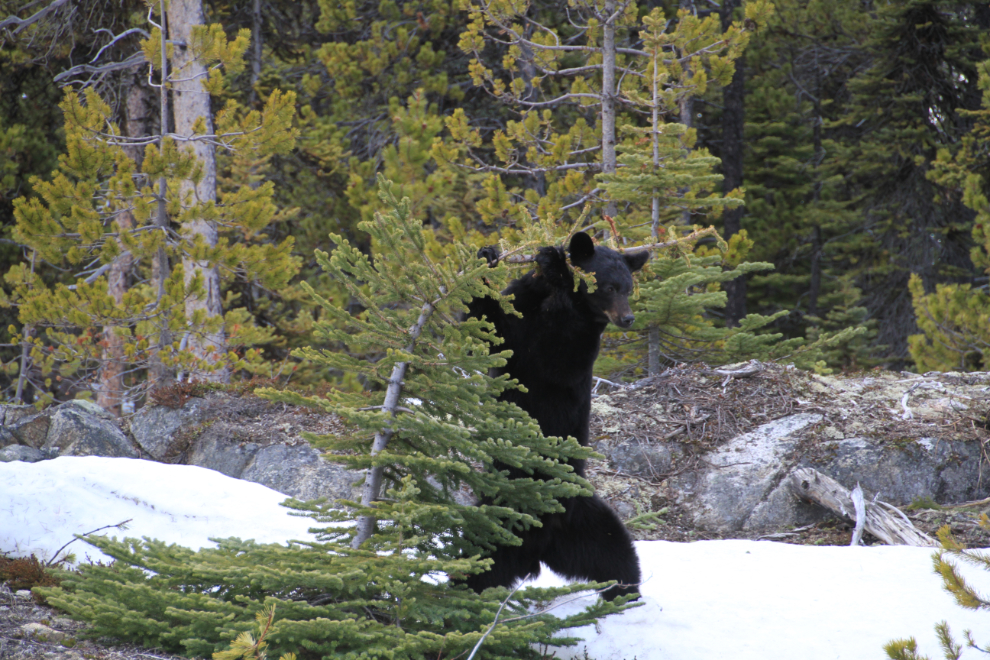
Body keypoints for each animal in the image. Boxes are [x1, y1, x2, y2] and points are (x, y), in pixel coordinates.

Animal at [466, 233, 652, 604]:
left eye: (628, 287)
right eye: (610, 287)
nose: (627, 319)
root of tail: (539, 545)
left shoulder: (581, 338)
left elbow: (558, 357)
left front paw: (555, 264)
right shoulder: (520, 308)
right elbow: (489, 326)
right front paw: (487, 257)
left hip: (583, 518)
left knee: (617, 554)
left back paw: (625, 592)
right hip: (497, 518)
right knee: (479, 561)